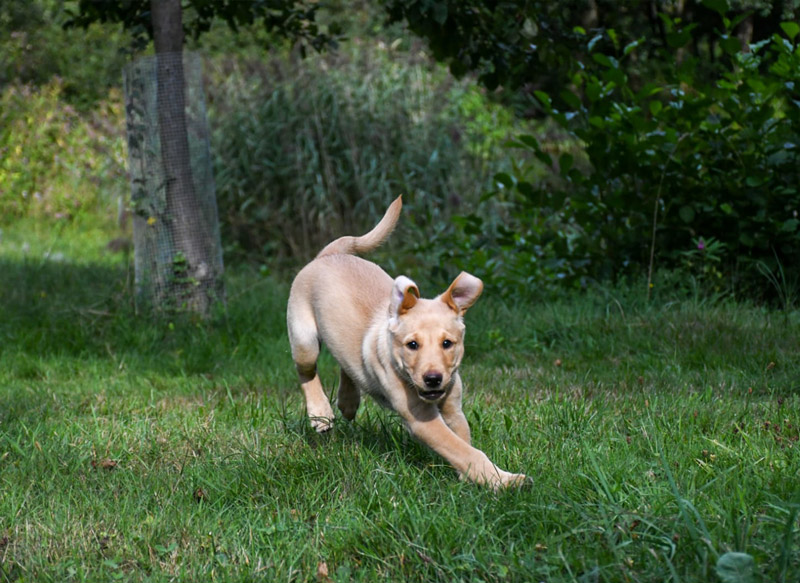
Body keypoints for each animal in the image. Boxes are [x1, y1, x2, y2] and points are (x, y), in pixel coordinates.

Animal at [286, 195, 524, 488]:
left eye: (448, 343)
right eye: (412, 345)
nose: (433, 379)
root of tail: (329, 254)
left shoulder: (453, 408)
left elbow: (463, 441)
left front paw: (469, 477)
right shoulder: (421, 418)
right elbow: (463, 450)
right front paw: (503, 481)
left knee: (346, 363)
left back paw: (348, 401)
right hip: (303, 336)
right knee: (306, 371)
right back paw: (320, 412)